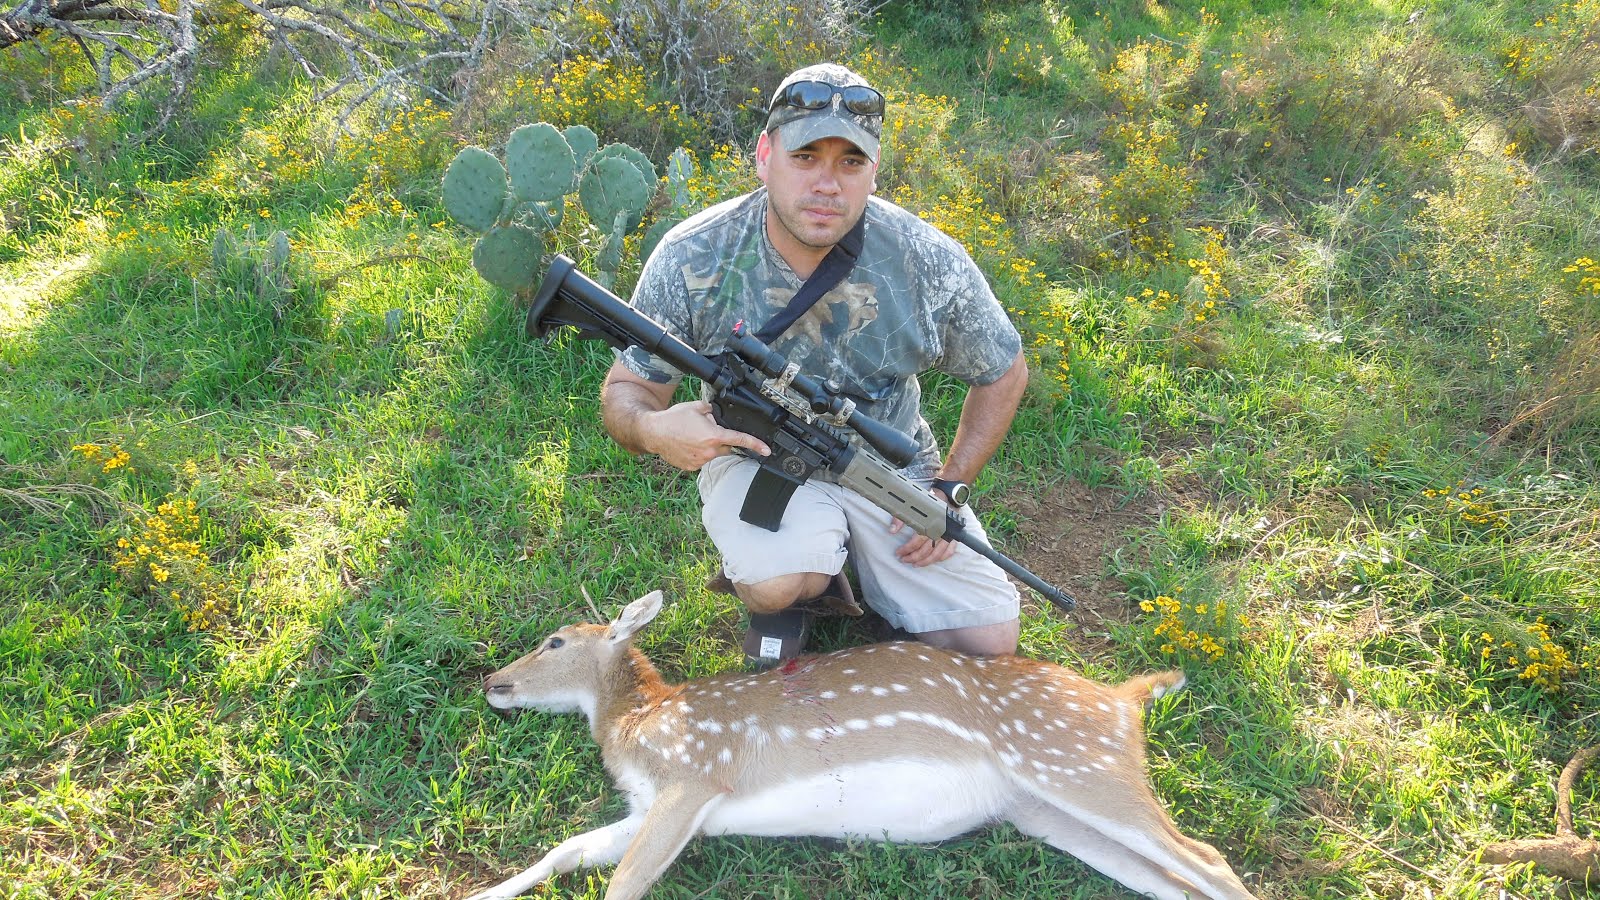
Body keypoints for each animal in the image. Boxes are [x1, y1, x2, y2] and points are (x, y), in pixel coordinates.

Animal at [468, 590, 1257, 900]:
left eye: (555, 641)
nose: (493, 682)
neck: (639, 722)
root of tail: (1125, 701)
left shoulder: (697, 775)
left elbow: (624, 882)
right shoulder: (650, 804)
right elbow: (568, 850)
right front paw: (483, 891)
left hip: (1074, 761)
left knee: (1209, 860)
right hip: (1040, 808)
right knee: (1172, 879)